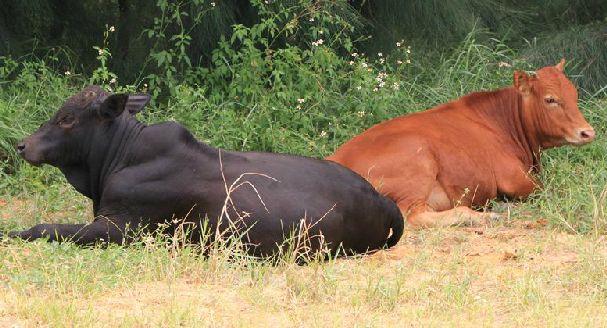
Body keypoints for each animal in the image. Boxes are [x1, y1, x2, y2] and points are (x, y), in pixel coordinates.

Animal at [7, 87, 404, 256]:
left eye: (67, 118)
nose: (22, 145)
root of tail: (380, 198)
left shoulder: (121, 227)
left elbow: (48, 228)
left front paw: (15, 232)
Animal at [330, 60, 596, 227]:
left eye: (575, 95)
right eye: (550, 99)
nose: (588, 132)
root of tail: (334, 160)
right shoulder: (514, 178)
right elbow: (551, 189)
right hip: (416, 164)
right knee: (414, 216)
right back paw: (484, 216)